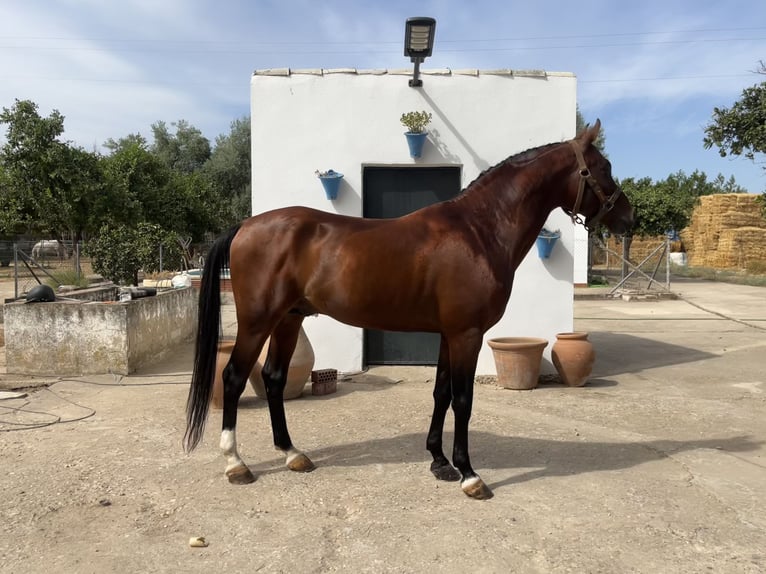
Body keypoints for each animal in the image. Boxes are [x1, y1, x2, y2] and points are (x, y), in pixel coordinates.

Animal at [183, 120, 632, 500]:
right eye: (602, 167)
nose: (628, 216)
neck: (479, 230)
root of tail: (245, 226)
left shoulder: (450, 334)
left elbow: (441, 393)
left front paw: (440, 462)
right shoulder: (467, 334)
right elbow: (463, 399)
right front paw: (470, 475)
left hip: (288, 320)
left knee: (274, 378)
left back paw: (293, 454)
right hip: (257, 322)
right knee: (234, 377)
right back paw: (236, 463)